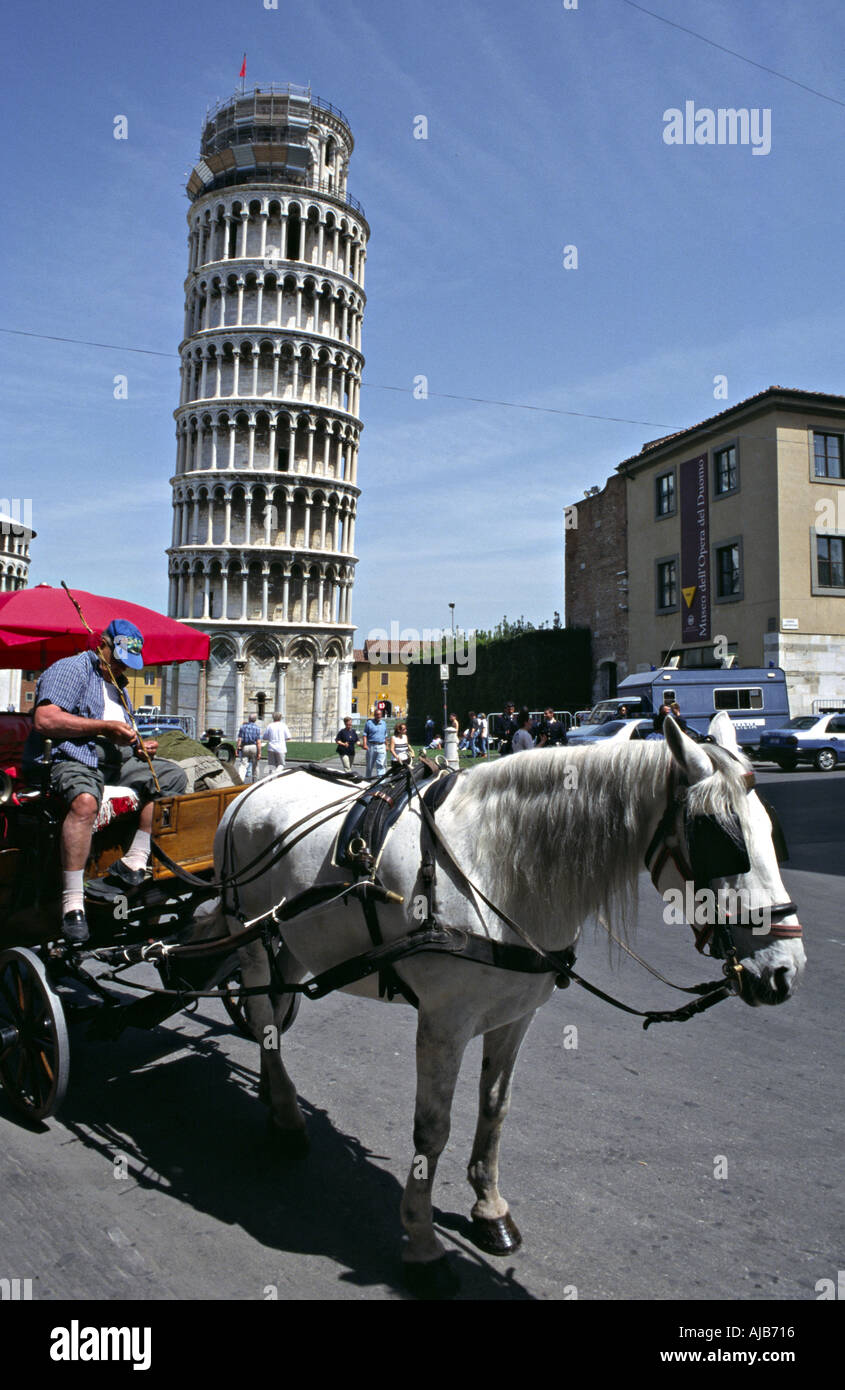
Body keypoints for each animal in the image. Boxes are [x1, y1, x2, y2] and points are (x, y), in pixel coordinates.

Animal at [204, 711, 806, 1295]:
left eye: (773, 835)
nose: (784, 971)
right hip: (249, 933)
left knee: (275, 1005)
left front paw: (489, 1209)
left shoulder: (516, 1015)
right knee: (264, 1017)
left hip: (294, 939)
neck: (492, 867)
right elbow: (432, 1128)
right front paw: (422, 1244)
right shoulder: (442, 1023)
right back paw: (286, 1116)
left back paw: (273, 1092)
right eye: (721, 841)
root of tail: (252, 788)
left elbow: (495, 1108)